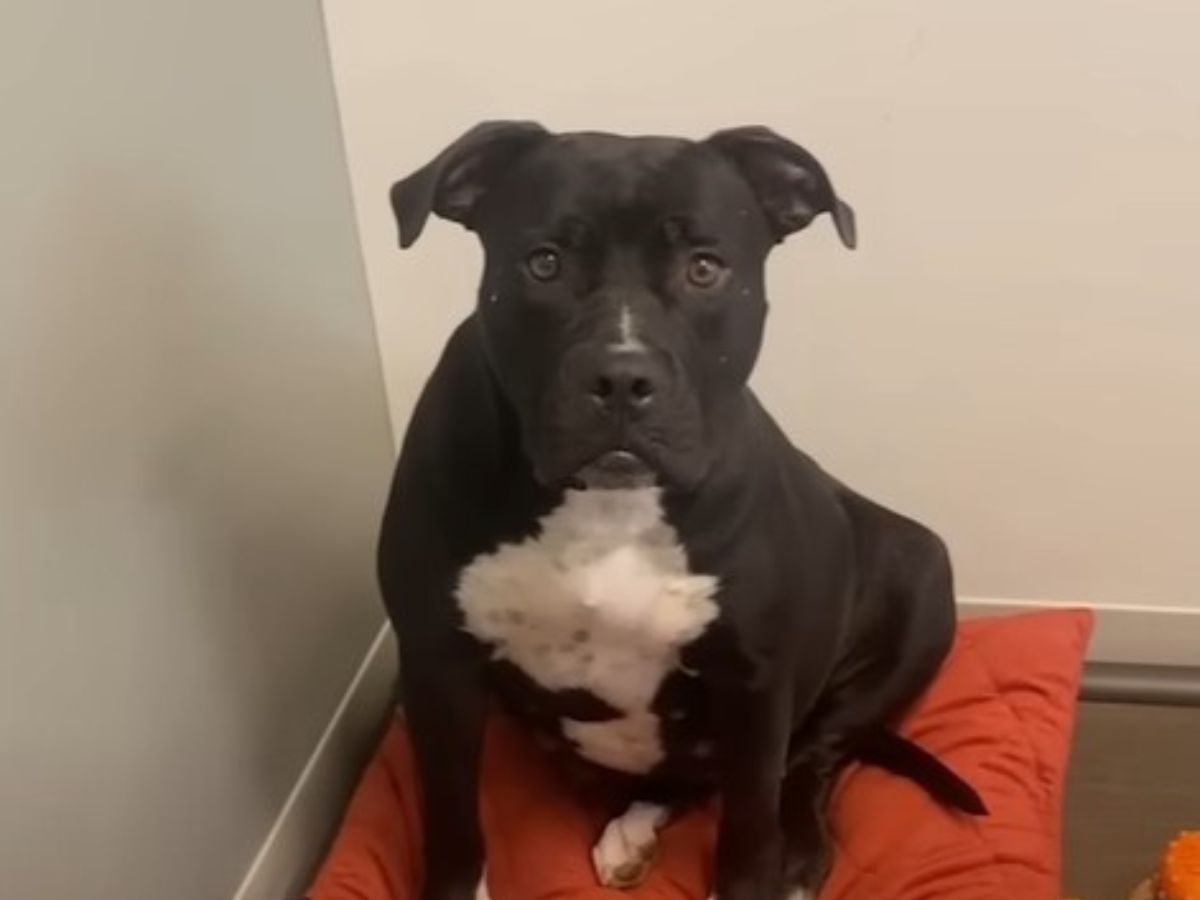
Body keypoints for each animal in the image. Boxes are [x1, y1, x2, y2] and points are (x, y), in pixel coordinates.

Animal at [376, 121, 984, 900]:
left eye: (704, 268)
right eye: (543, 263)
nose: (621, 378)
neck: (604, 504)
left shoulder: (756, 686)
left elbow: (749, 828)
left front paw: (760, 870)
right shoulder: (436, 666)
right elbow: (452, 826)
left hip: (922, 582)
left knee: (811, 757)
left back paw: (795, 851)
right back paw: (633, 829)